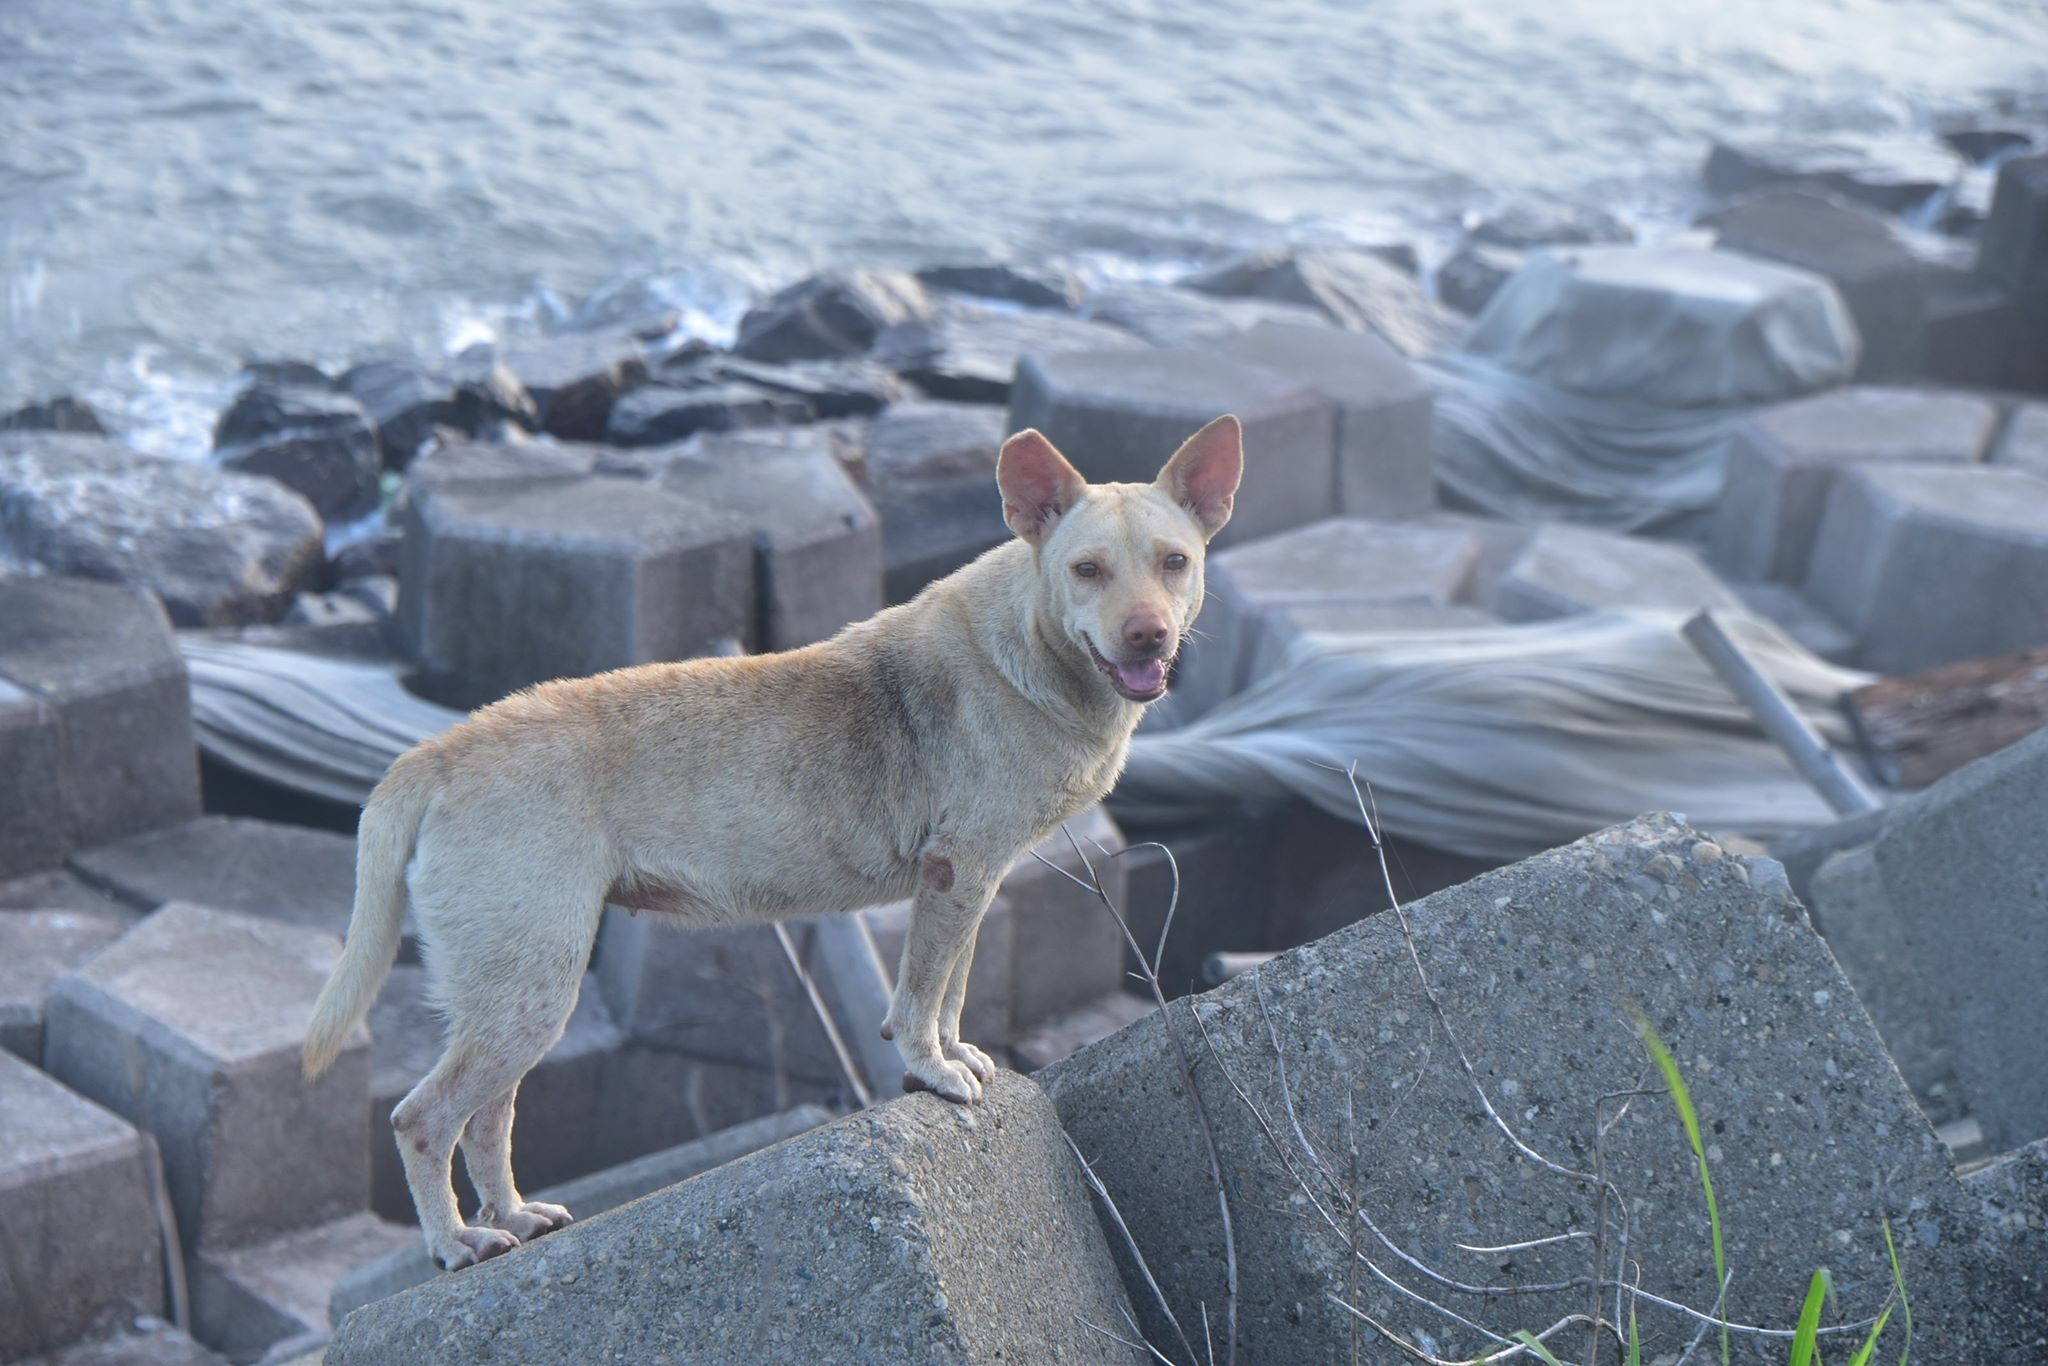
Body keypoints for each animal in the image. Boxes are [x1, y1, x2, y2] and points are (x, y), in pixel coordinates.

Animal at [296, 413, 1236, 1269]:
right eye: (1087, 570)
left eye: (1174, 562)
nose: (1148, 634)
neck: (1029, 646)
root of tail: (434, 754)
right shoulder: (958, 870)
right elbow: (919, 997)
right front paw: (932, 1073)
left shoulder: (975, 879)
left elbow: (952, 987)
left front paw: (957, 1053)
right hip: (530, 983)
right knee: (422, 1117)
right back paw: (457, 1244)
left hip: (520, 993)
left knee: (488, 1118)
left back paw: (515, 1218)